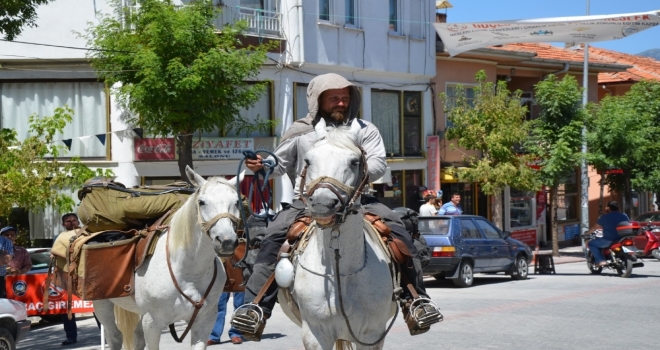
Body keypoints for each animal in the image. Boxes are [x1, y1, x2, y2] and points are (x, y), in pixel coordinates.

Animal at [93, 167, 245, 350]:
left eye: (236, 202)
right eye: (202, 202)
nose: (226, 241)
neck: (189, 271)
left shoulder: (204, 321)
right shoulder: (152, 323)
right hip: (102, 304)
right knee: (114, 337)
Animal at [278, 119, 398, 348]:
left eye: (354, 161)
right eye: (308, 160)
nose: (323, 204)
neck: (340, 273)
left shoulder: (371, 335)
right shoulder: (315, 334)